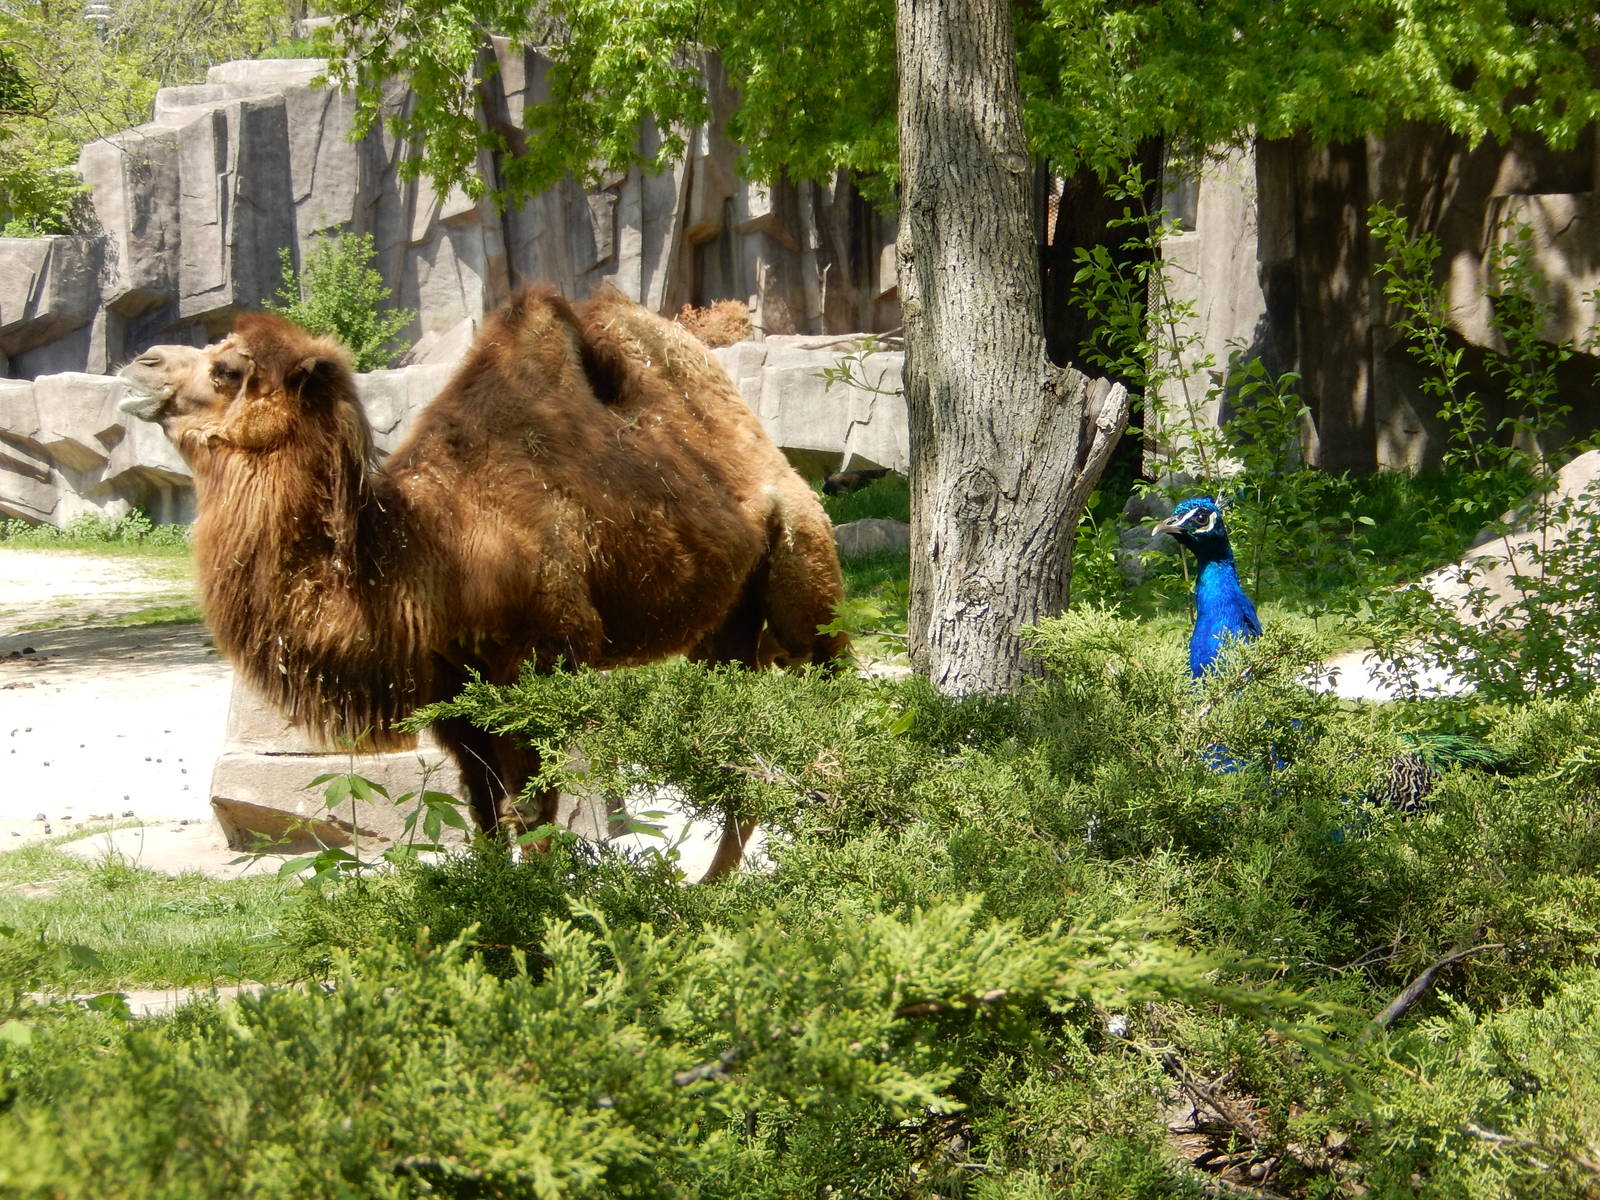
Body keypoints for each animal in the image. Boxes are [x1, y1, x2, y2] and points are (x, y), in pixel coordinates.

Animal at [117, 285, 848, 878]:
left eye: (228, 368)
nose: (139, 364)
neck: (429, 553)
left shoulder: (540, 663)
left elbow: (534, 814)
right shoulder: (456, 695)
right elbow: (485, 816)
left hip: (806, 580)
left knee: (831, 701)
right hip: (725, 632)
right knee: (740, 747)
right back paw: (710, 888)